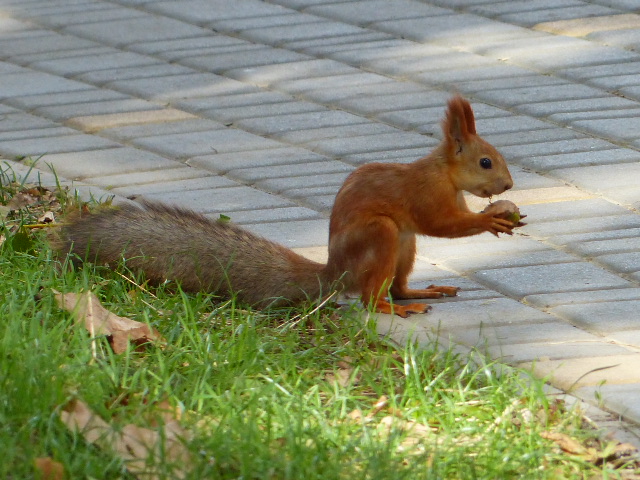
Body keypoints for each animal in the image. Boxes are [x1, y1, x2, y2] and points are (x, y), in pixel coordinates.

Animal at [53, 95, 516, 316]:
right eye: (485, 161)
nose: (509, 184)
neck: (444, 173)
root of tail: (337, 272)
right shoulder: (425, 195)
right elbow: (440, 224)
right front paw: (491, 219)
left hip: (404, 246)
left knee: (397, 286)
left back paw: (421, 292)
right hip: (383, 235)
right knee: (371, 298)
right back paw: (395, 307)